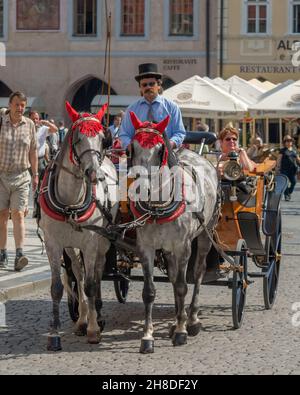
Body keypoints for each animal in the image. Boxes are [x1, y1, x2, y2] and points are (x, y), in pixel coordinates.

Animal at [40, 102, 118, 350]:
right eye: (78, 138)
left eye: (103, 138)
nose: (94, 174)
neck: (70, 202)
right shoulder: (53, 243)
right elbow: (58, 287)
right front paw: (54, 335)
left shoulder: (92, 242)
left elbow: (92, 284)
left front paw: (94, 330)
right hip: (72, 246)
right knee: (78, 272)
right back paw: (82, 319)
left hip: (102, 242)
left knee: (96, 272)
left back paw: (96, 316)